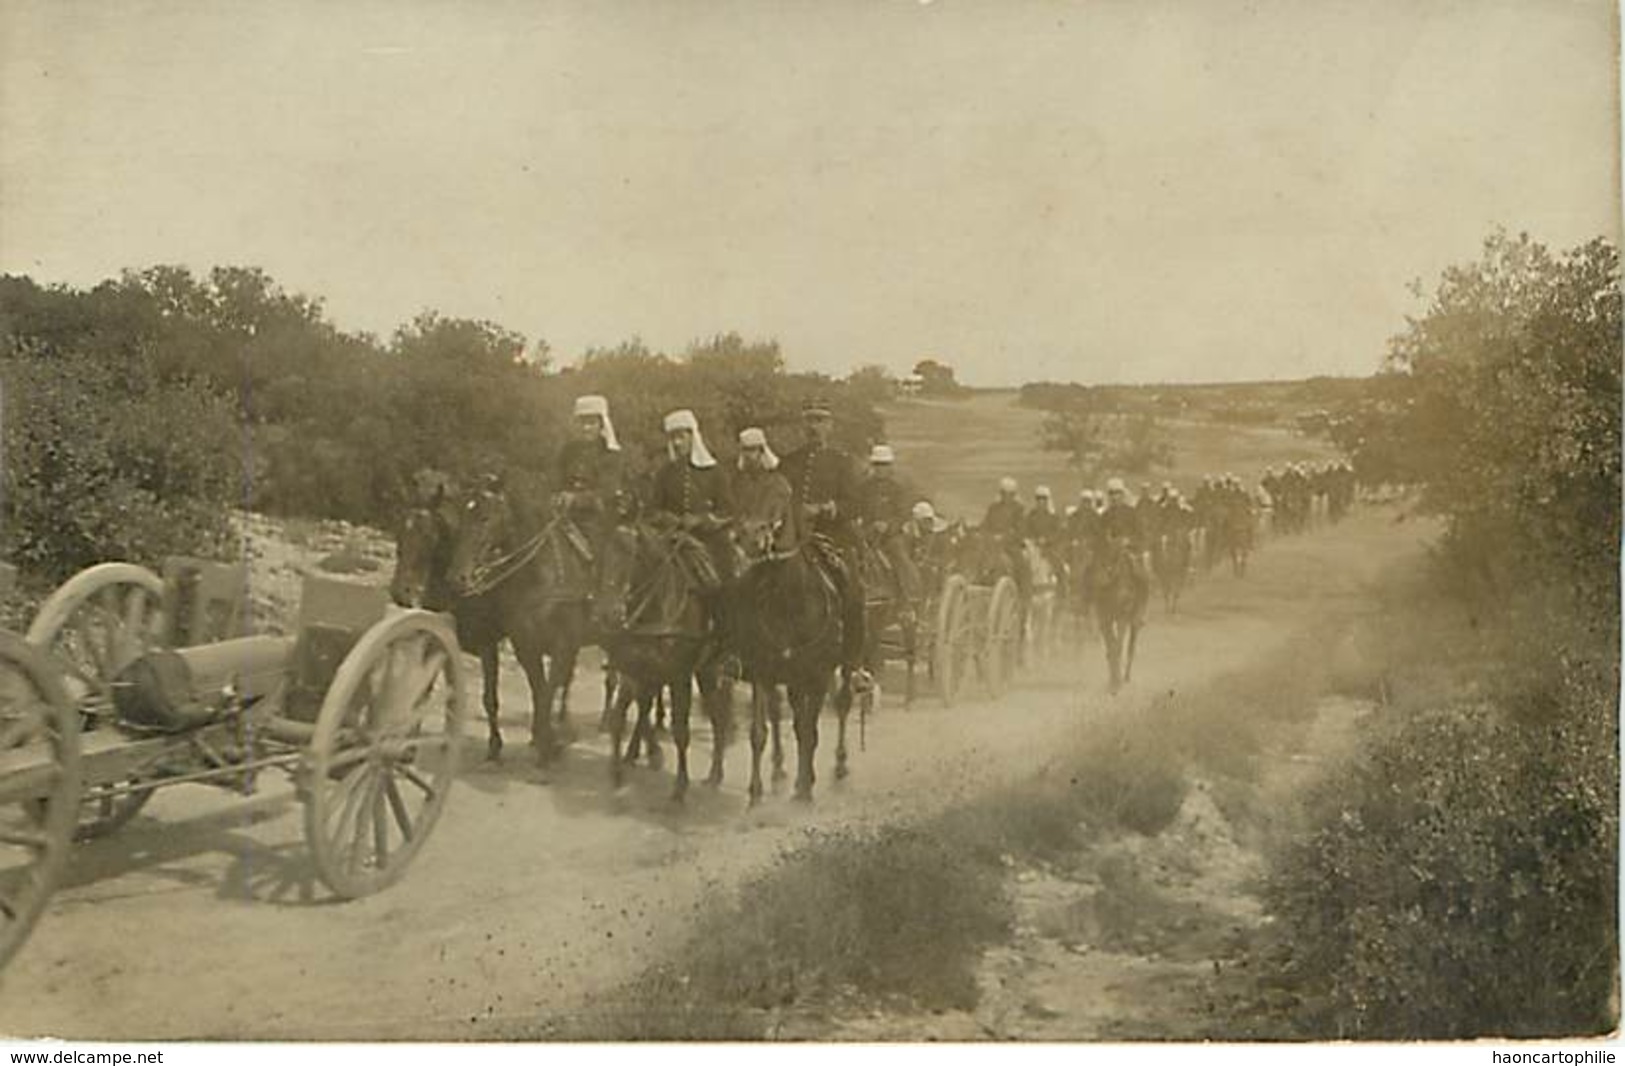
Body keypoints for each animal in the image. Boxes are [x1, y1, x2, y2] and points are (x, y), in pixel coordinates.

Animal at [445, 487, 598, 770]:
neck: (541, 578)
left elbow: (547, 692)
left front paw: (549, 745)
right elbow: (535, 691)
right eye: (460, 518)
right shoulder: (524, 646)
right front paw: (539, 741)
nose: (456, 578)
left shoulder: (563, 645)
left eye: (485, 518)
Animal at [591, 523, 731, 799]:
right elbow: (620, 717)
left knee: (719, 717)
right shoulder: (633, 668)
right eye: (601, 557)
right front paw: (617, 773)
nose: (606, 615)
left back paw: (716, 774)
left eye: (632, 558)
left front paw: (680, 787)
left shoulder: (679, 676)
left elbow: (680, 731)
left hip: (708, 671)